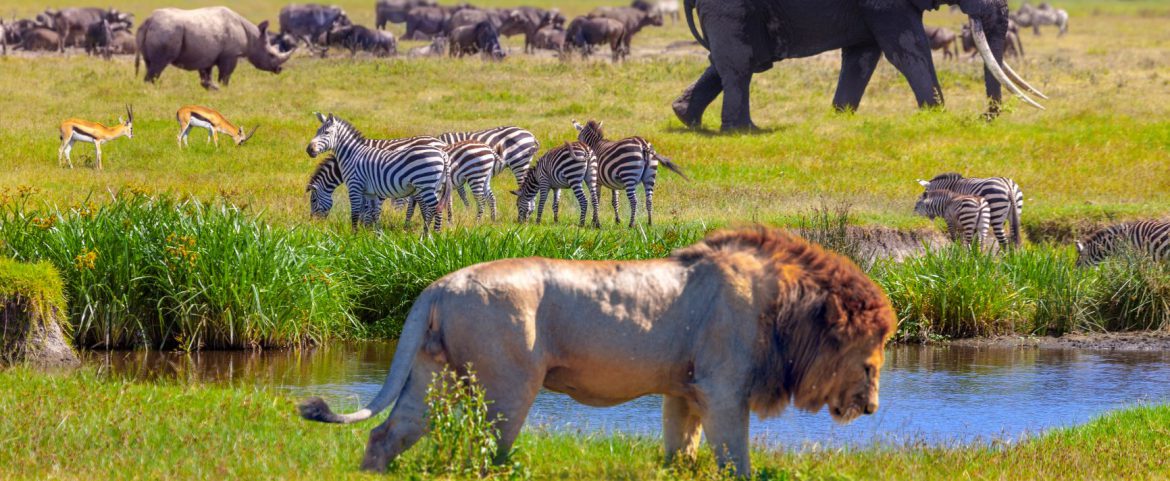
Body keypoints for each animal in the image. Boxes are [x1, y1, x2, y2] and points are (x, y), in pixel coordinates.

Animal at [135, 7, 292, 90]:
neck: (253, 37)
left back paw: (150, 88)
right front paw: (224, 89)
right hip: (167, 30)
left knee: (150, 63)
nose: (279, 69)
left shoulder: (207, 54)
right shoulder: (231, 54)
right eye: (271, 55)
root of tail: (149, 20)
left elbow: (206, 75)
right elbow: (225, 75)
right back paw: (154, 89)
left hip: (160, 30)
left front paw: (213, 88)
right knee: (159, 64)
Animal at [299, 225, 893, 475]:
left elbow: (681, 447)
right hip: (508, 385)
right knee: (485, 451)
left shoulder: (686, 390)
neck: (786, 307)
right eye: (872, 357)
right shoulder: (724, 388)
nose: (872, 409)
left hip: (434, 373)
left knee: (387, 433)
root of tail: (438, 285)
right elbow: (736, 457)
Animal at [304, 112, 449, 234]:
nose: (309, 150)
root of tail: (441, 149)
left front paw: (356, 236)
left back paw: (433, 236)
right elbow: (372, 212)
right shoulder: (370, 189)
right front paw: (373, 234)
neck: (352, 154)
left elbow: (359, 212)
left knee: (433, 209)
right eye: (317, 131)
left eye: (313, 200)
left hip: (425, 185)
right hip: (432, 186)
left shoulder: (356, 186)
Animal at [678, 0, 1053, 131]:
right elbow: (906, 48)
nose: (987, 117)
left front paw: (840, 117)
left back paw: (686, 118)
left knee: (739, 61)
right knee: (741, 64)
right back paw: (743, 131)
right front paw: (936, 115)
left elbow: (863, 55)